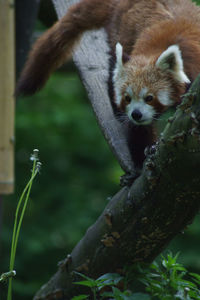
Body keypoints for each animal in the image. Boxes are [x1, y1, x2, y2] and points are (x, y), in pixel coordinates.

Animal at [16, 0, 200, 169]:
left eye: (149, 97)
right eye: (127, 98)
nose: (136, 114)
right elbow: (139, 132)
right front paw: (141, 163)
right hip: (119, 32)